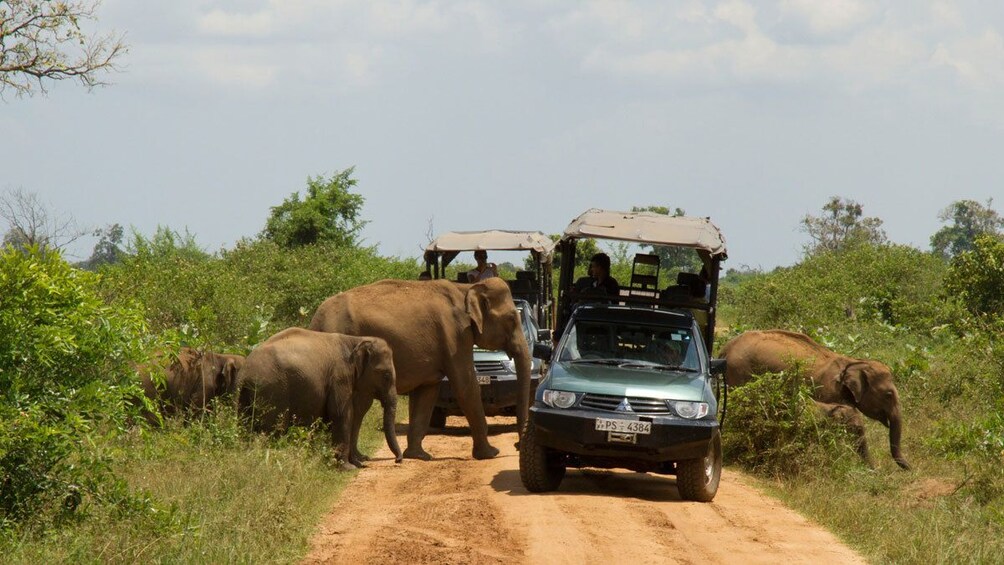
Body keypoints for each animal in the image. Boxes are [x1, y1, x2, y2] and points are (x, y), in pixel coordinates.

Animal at [234, 327, 403, 469]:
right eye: (386, 375)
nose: (398, 460)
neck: (355, 340)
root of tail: (245, 373)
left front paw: (358, 463)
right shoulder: (339, 377)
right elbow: (342, 414)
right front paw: (349, 468)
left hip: (245, 396)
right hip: (273, 391)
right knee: (274, 429)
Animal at [307, 276, 534, 461]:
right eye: (511, 319)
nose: (516, 446)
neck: (466, 288)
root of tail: (315, 321)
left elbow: (428, 391)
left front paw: (419, 456)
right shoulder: (456, 335)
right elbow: (466, 386)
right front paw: (490, 454)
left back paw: (358, 458)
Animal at [722, 329, 911, 471]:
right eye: (888, 395)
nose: (911, 469)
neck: (853, 362)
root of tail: (726, 347)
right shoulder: (828, 390)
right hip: (739, 372)